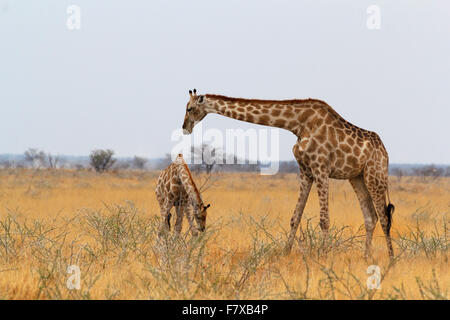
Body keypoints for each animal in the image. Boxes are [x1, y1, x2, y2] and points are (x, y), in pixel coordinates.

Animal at [181, 89, 396, 258]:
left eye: (189, 108)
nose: (185, 128)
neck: (298, 124)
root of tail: (385, 152)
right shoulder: (306, 171)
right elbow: (295, 217)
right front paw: (285, 251)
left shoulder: (321, 169)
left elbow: (324, 220)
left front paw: (325, 255)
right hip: (357, 177)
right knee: (371, 217)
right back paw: (366, 256)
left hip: (375, 174)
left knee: (384, 217)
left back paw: (391, 258)